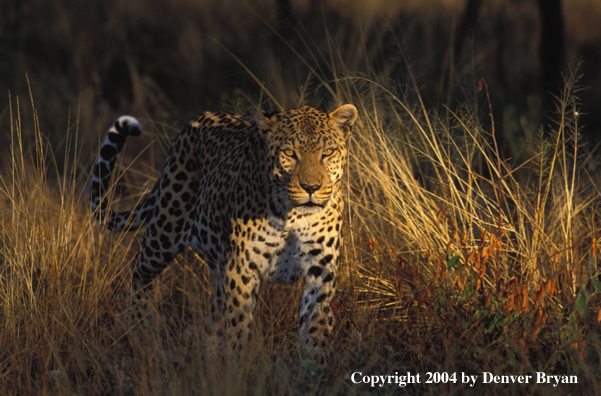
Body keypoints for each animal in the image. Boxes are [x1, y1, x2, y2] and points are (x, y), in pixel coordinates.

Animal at [90, 103, 356, 358]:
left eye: (328, 152)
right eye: (289, 153)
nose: (311, 187)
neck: (293, 217)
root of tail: (198, 118)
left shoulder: (320, 271)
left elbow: (315, 325)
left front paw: (312, 366)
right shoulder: (242, 269)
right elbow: (238, 325)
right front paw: (237, 366)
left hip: (216, 266)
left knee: (214, 317)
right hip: (164, 232)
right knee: (139, 275)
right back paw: (137, 327)